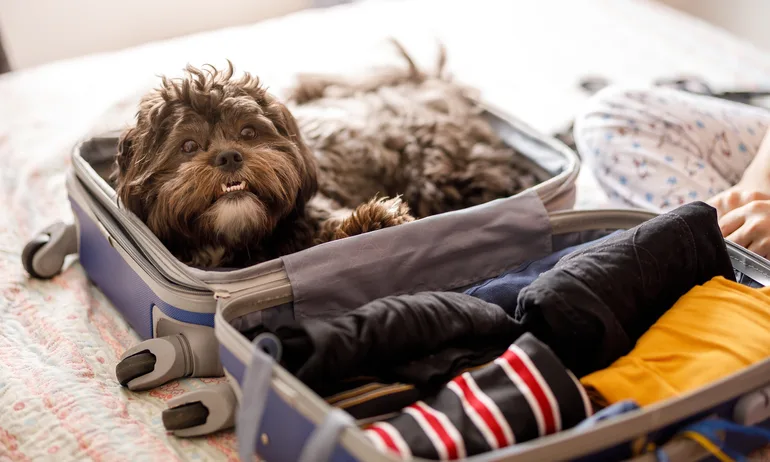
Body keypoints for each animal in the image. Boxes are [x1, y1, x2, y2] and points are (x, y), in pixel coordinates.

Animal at [112, 44, 536, 268]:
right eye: (187, 147)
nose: (229, 156)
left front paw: (377, 219)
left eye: (248, 132)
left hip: (445, 171)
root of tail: (431, 84)